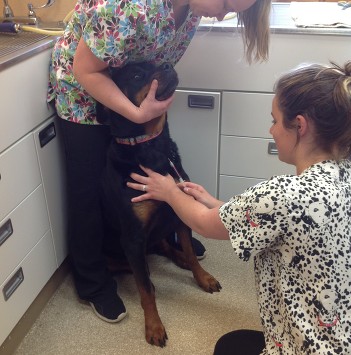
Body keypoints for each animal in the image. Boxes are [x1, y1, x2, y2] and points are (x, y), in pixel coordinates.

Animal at [96, 62, 223, 348]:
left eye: (153, 63)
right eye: (135, 74)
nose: (166, 65)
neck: (150, 146)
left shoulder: (179, 212)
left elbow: (190, 252)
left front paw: (202, 277)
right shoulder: (132, 237)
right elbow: (145, 289)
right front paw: (153, 325)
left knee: (164, 247)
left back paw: (179, 259)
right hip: (114, 251)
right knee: (138, 268)